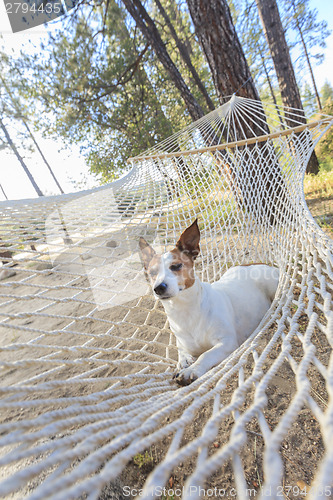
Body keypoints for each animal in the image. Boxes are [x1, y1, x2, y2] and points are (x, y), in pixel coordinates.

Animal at [139, 220, 278, 386]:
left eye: (176, 266)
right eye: (152, 273)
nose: (158, 288)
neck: (185, 311)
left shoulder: (227, 342)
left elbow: (206, 355)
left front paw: (191, 371)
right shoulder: (183, 341)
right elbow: (181, 350)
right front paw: (184, 360)